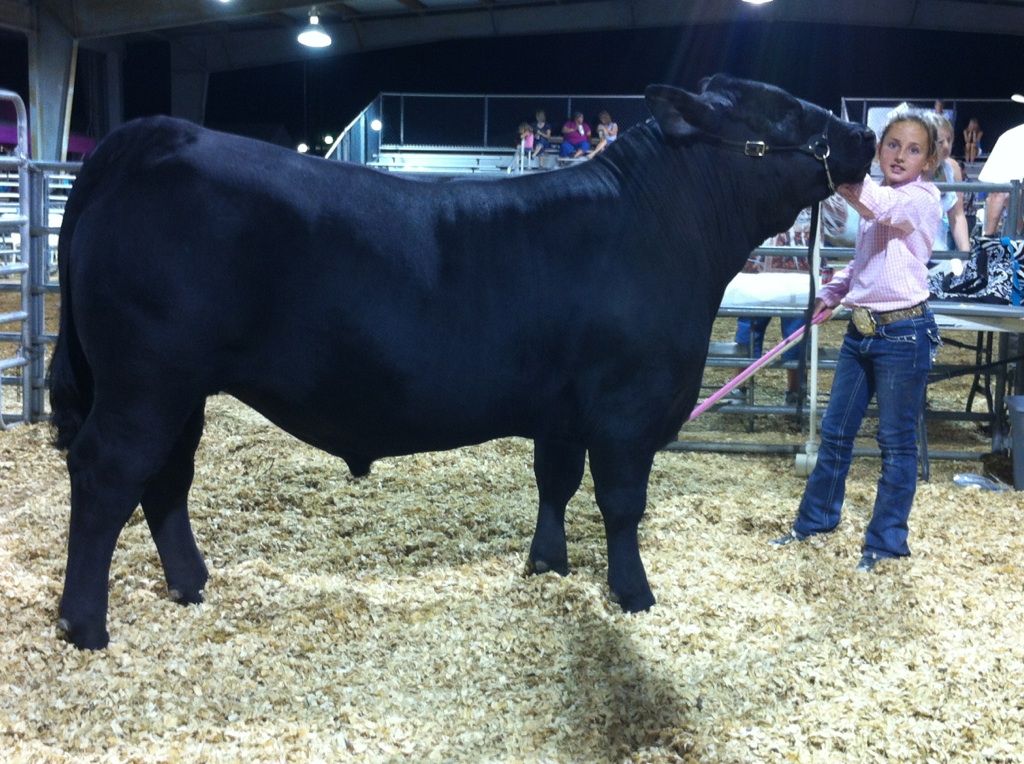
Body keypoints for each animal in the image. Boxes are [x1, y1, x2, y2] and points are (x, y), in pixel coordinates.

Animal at [49, 74, 875, 649]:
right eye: (783, 114)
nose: (862, 138)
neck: (661, 228)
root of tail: (157, 133)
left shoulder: (564, 410)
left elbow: (554, 482)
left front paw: (547, 566)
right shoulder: (627, 409)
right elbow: (620, 504)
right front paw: (634, 593)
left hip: (178, 390)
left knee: (167, 477)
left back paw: (191, 584)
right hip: (145, 382)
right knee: (108, 473)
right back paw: (84, 624)